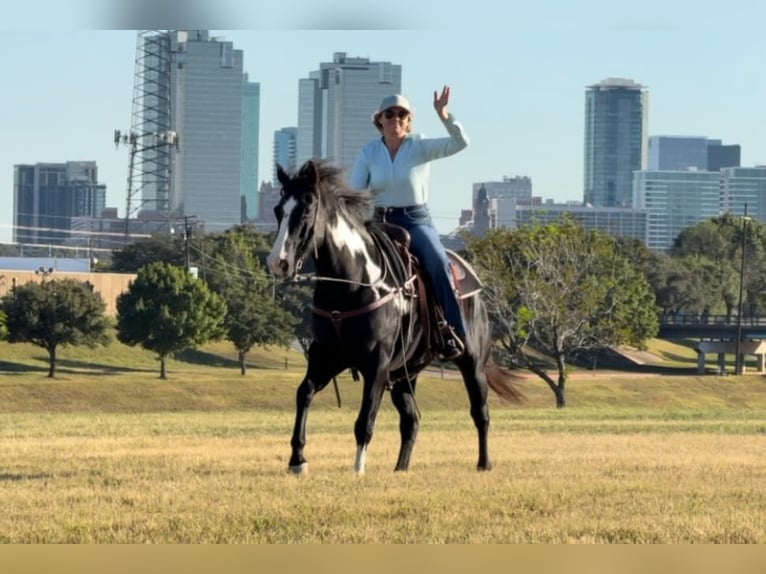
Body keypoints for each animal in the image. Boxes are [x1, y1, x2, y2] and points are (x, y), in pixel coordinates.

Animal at [267, 159, 523, 474]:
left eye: (306, 209)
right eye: (278, 210)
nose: (278, 263)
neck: (354, 282)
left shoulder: (377, 363)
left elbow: (365, 418)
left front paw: (357, 468)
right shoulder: (325, 356)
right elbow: (304, 392)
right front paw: (297, 459)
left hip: (472, 361)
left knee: (480, 412)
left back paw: (484, 464)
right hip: (405, 373)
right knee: (412, 420)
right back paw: (400, 469)